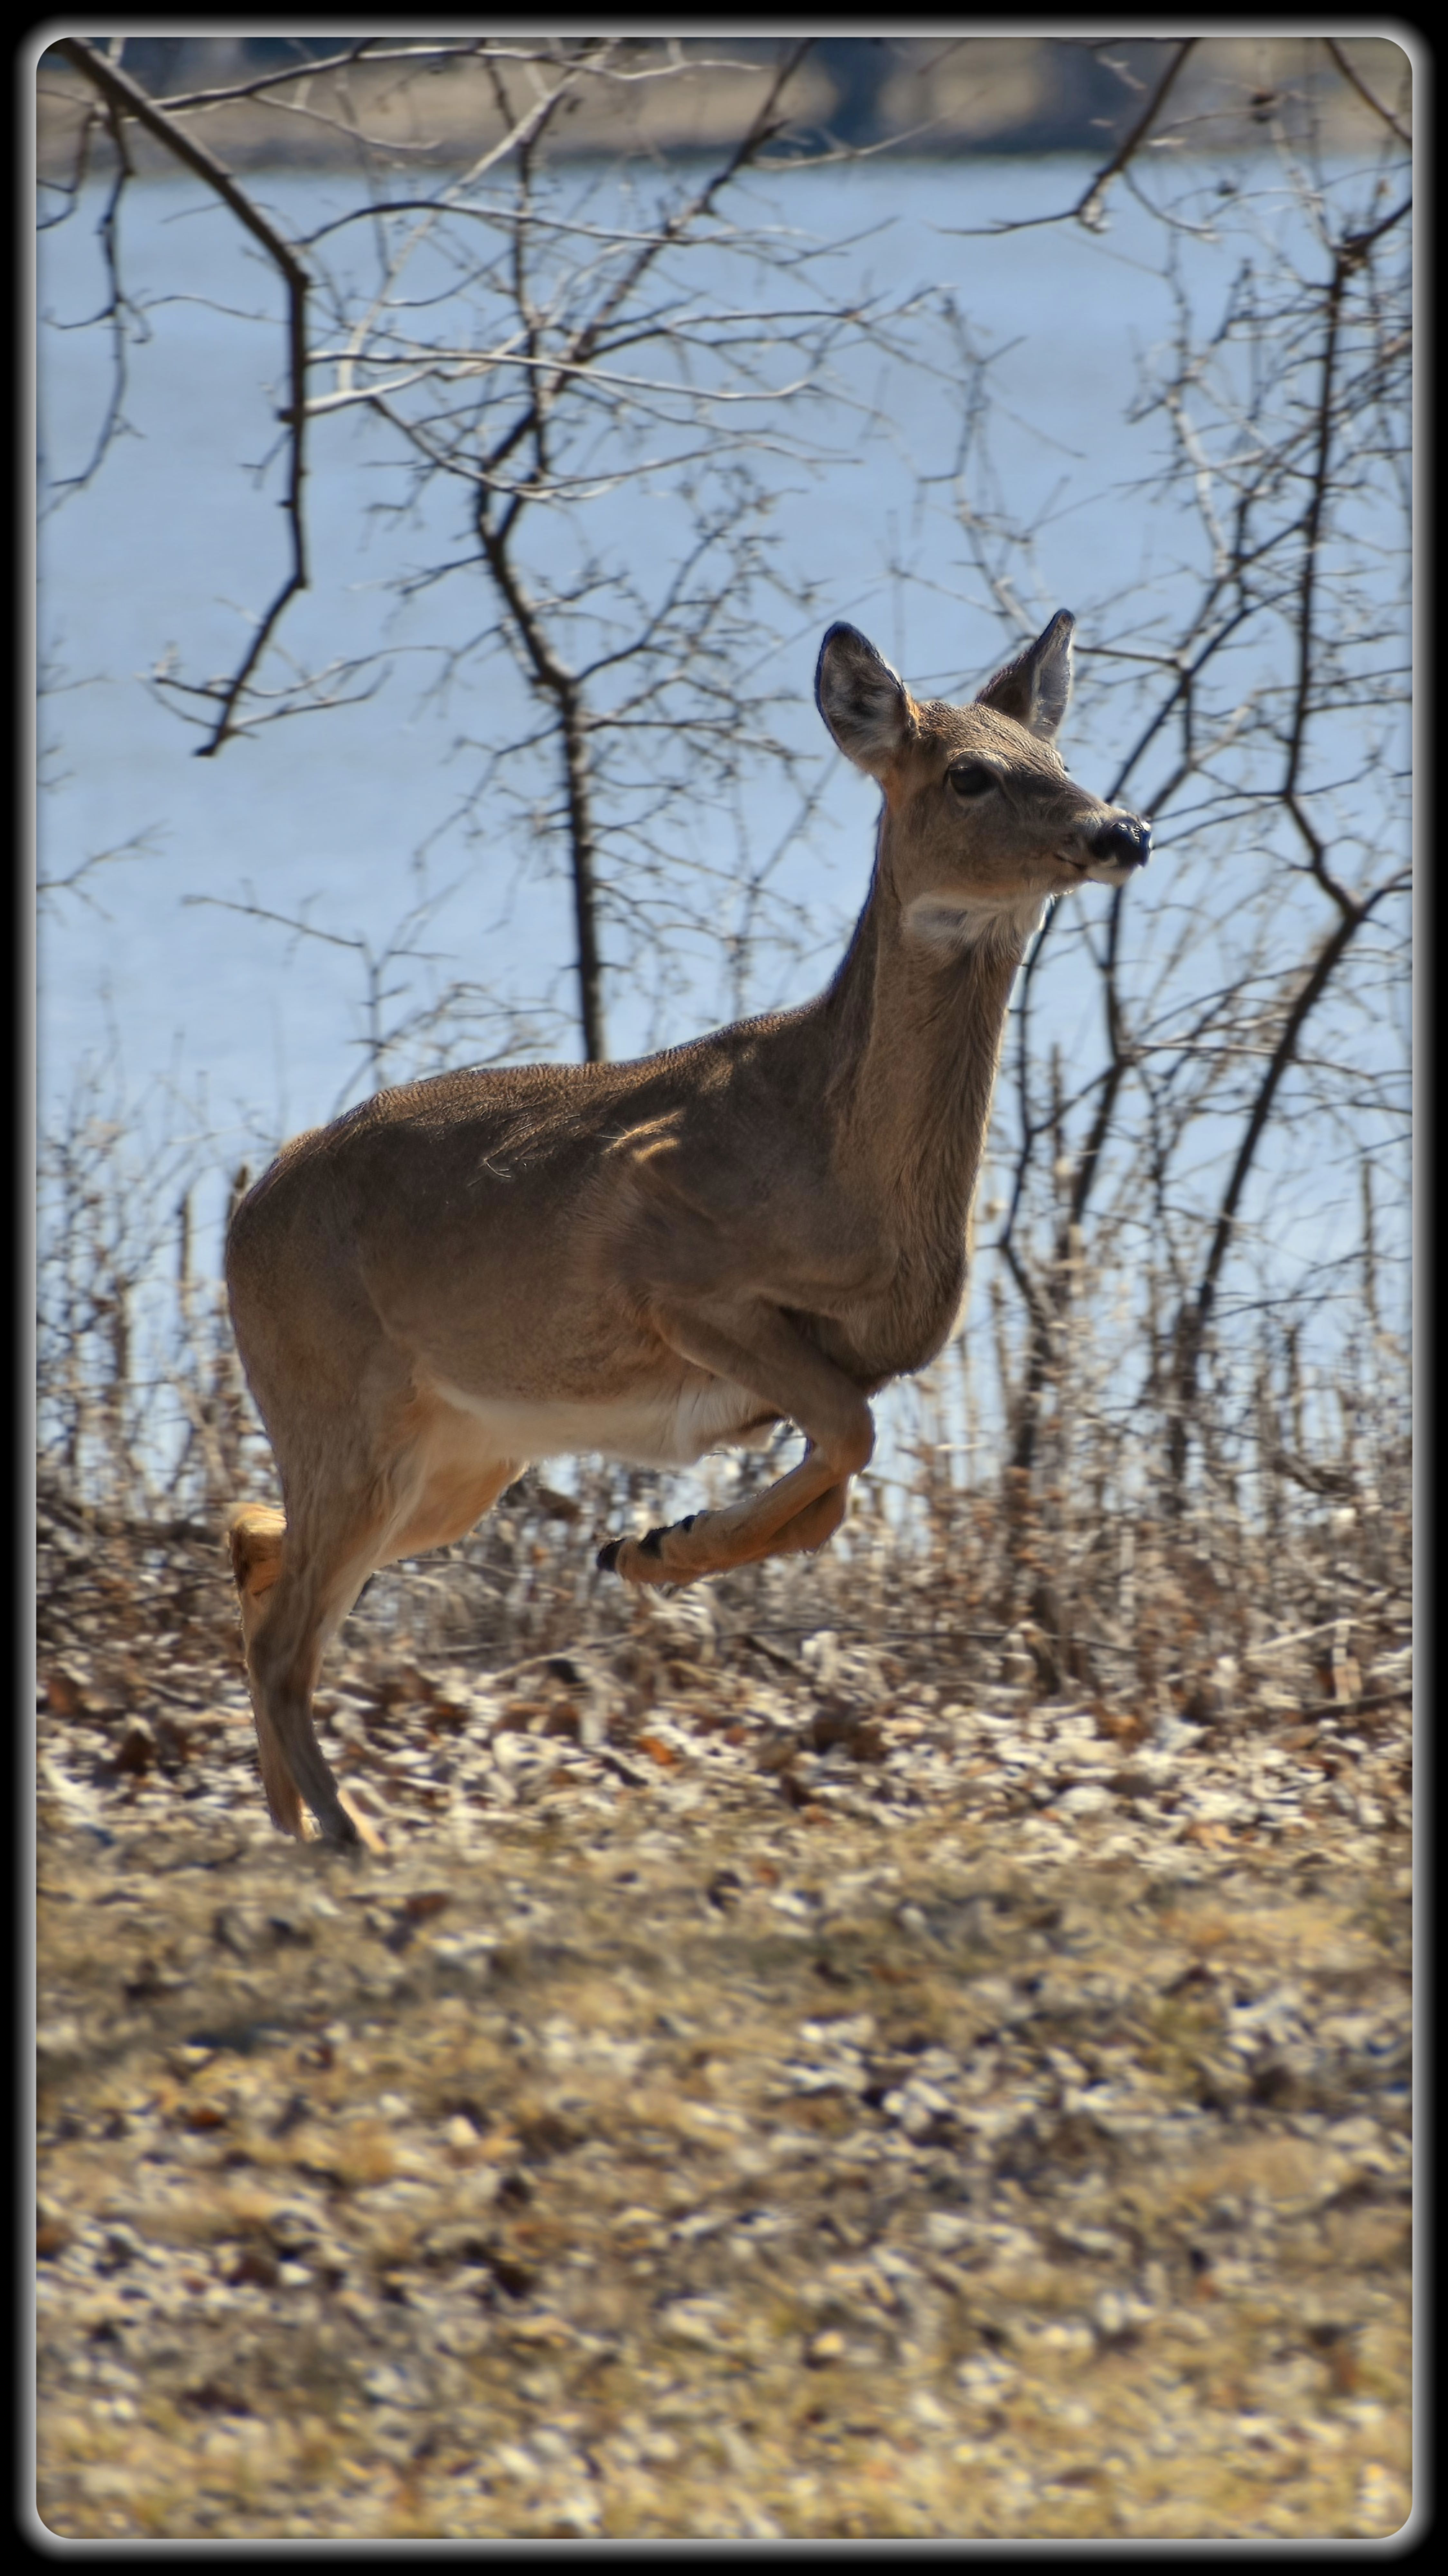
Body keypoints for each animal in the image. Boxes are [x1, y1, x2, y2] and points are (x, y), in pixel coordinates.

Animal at [224, 610, 1150, 1848]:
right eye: (969, 773)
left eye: (1055, 753)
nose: (1119, 829)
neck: (835, 1158)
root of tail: (243, 1213)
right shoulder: (667, 1266)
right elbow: (850, 1438)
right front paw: (659, 1546)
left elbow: (835, 1484)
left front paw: (656, 1544)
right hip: (343, 1409)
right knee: (286, 1630)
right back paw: (349, 1829)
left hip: (459, 1458)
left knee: (257, 1551)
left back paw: (290, 1816)